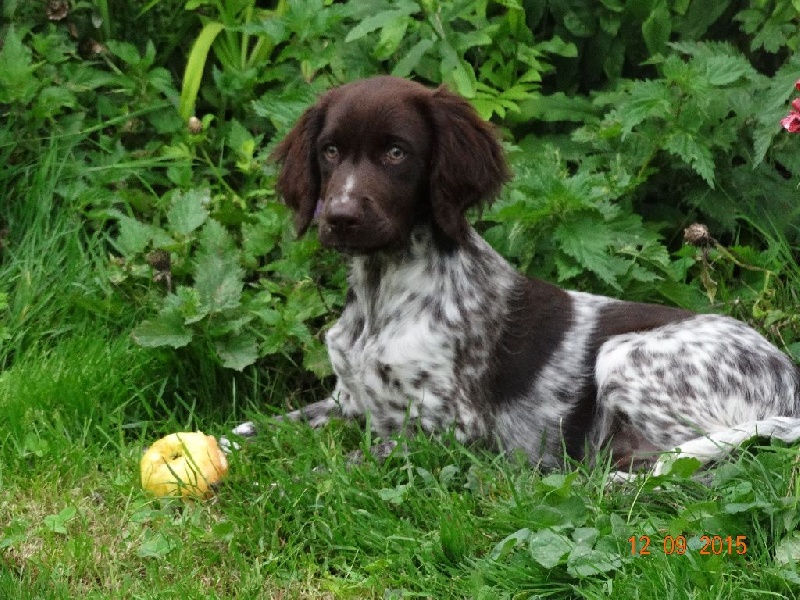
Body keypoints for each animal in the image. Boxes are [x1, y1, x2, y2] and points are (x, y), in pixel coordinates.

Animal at [230, 76, 800, 478]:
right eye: (329, 151)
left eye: (396, 152)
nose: (340, 217)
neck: (381, 293)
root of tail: (790, 380)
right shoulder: (346, 403)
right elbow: (252, 428)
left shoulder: (459, 431)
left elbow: (341, 465)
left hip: (623, 356)